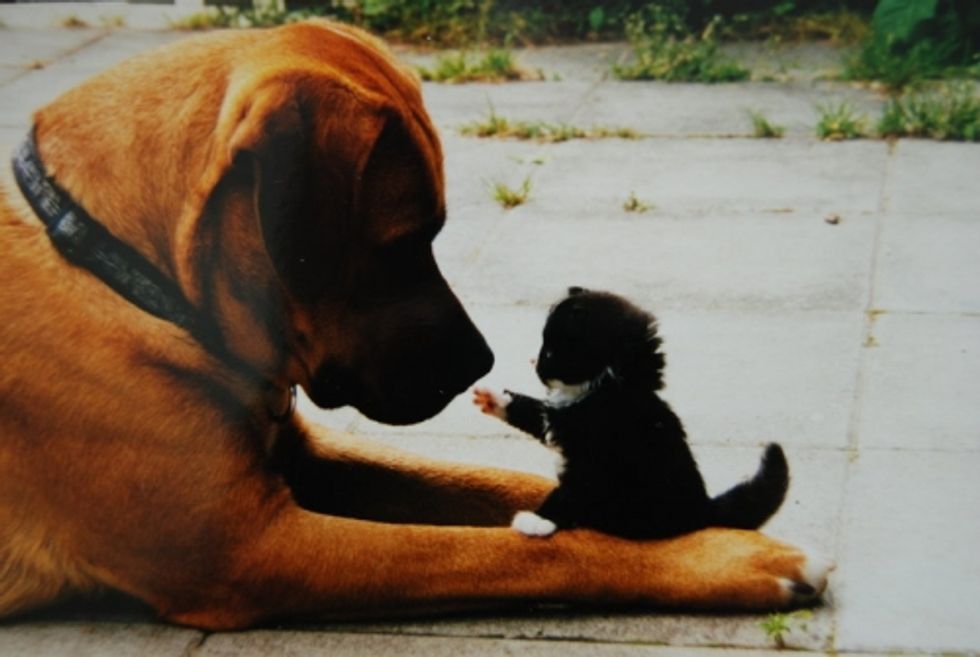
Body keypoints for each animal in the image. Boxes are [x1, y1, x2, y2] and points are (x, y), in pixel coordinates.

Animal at [474, 288, 788, 540]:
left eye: (550, 352)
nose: (533, 360)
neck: (606, 386)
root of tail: (703, 509)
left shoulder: (592, 463)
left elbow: (568, 493)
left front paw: (538, 521)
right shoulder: (557, 419)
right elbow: (533, 411)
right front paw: (494, 398)